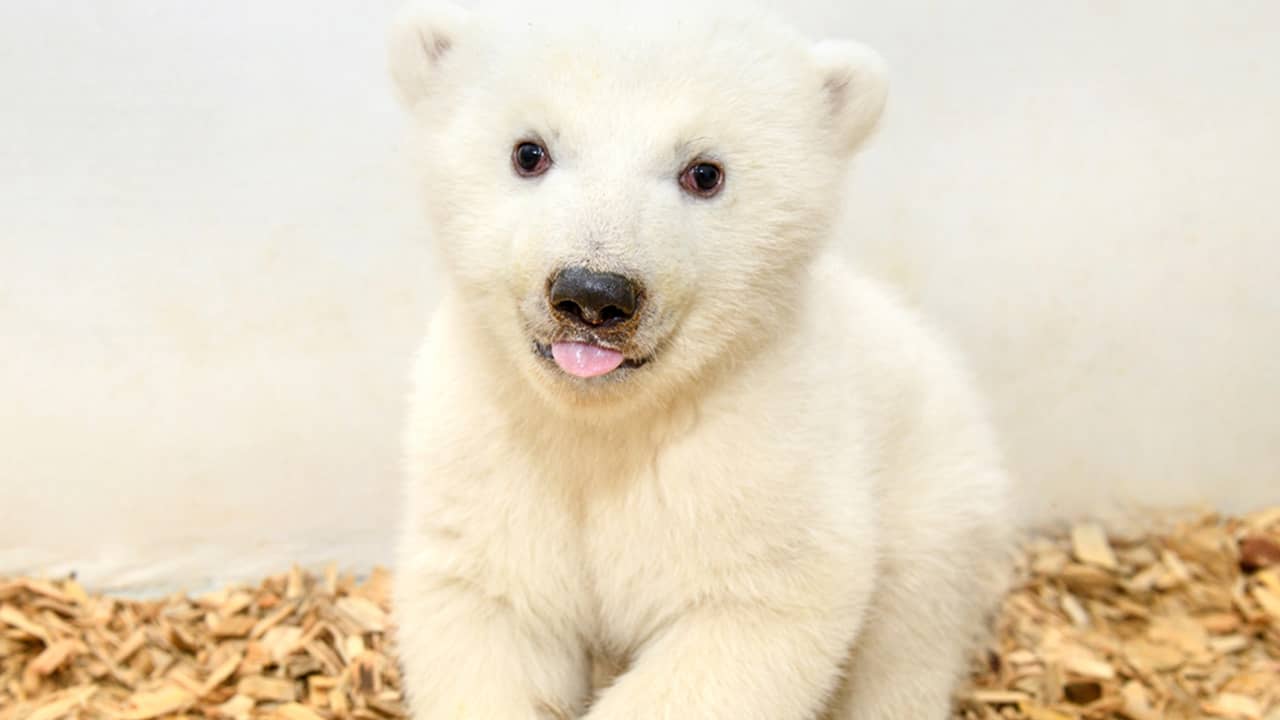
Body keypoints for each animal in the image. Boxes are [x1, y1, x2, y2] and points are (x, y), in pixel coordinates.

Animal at [387, 1, 1014, 718]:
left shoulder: (763, 460)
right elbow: (491, 603)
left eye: (704, 171)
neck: (604, 424)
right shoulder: (487, 453)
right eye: (529, 151)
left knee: (906, 645)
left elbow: (753, 610)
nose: (593, 294)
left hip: (937, 499)